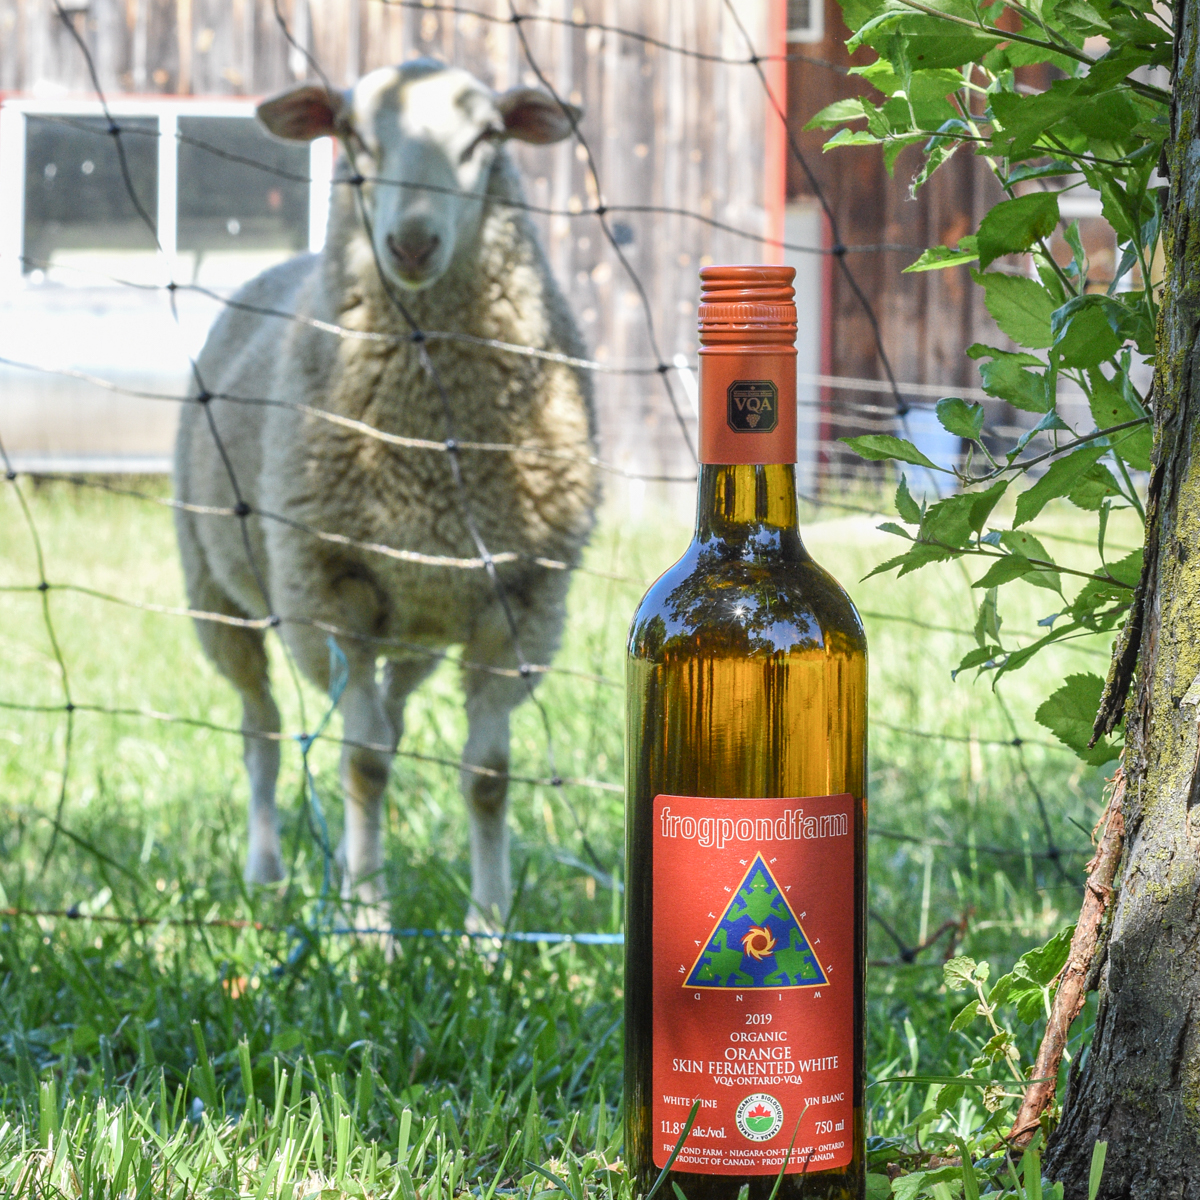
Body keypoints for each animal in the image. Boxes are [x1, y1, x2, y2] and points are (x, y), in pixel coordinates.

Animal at [171, 60, 600, 931]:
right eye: (354, 137)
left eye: (486, 139)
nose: (411, 241)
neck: (434, 451)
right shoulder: (332, 589)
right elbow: (363, 765)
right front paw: (370, 926)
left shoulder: (522, 603)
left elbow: (487, 775)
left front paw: (488, 930)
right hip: (220, 599)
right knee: (264, 730)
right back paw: (268, 873)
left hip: (417, 629)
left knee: (386, 719)